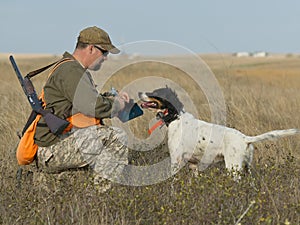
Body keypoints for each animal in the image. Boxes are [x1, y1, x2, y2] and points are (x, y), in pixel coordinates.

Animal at [139, 87, 300, 178]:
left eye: (155, 93)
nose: (139, 92)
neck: (175, 117)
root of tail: (245, 138)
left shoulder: (176, 160)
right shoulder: (193, 164)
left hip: (233, 168)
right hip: (246, 168)